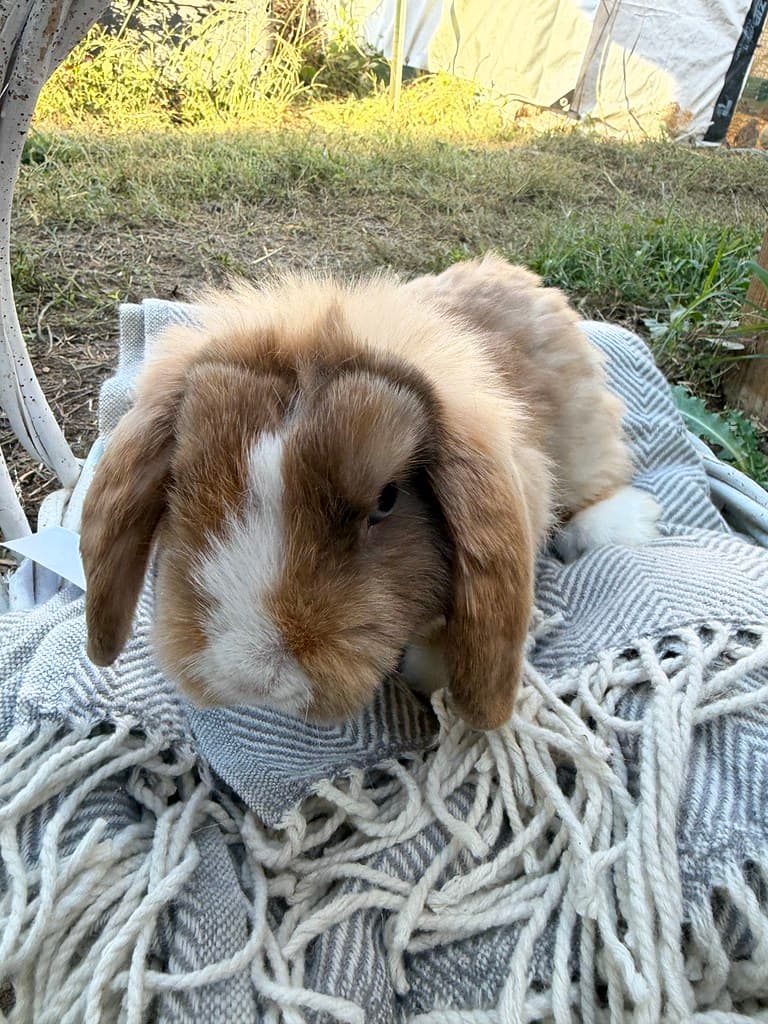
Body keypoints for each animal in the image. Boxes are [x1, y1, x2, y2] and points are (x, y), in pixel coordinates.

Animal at [79, 254, 659, 730]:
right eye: (181, 481)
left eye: (387, 501)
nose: (253, 680)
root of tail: (509, 272)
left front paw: (429, 677)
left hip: (583, 430)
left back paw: (622, 526)